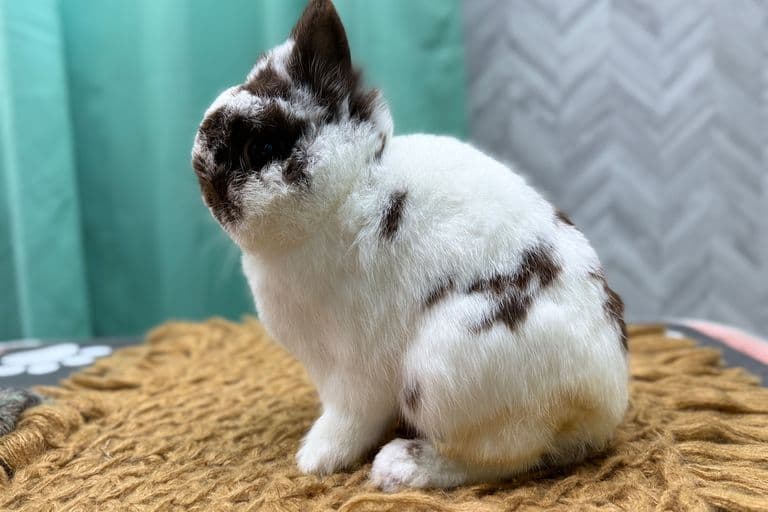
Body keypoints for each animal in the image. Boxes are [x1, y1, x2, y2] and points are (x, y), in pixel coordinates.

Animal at [191, 0, 629, 491]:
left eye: (262, 147)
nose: (203, 176)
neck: (347, 190)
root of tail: (602, 402)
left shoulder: (355, 367)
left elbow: (349, 417)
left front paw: (315, 459)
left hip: (444, 370)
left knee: (503, 455)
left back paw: (400, 467)